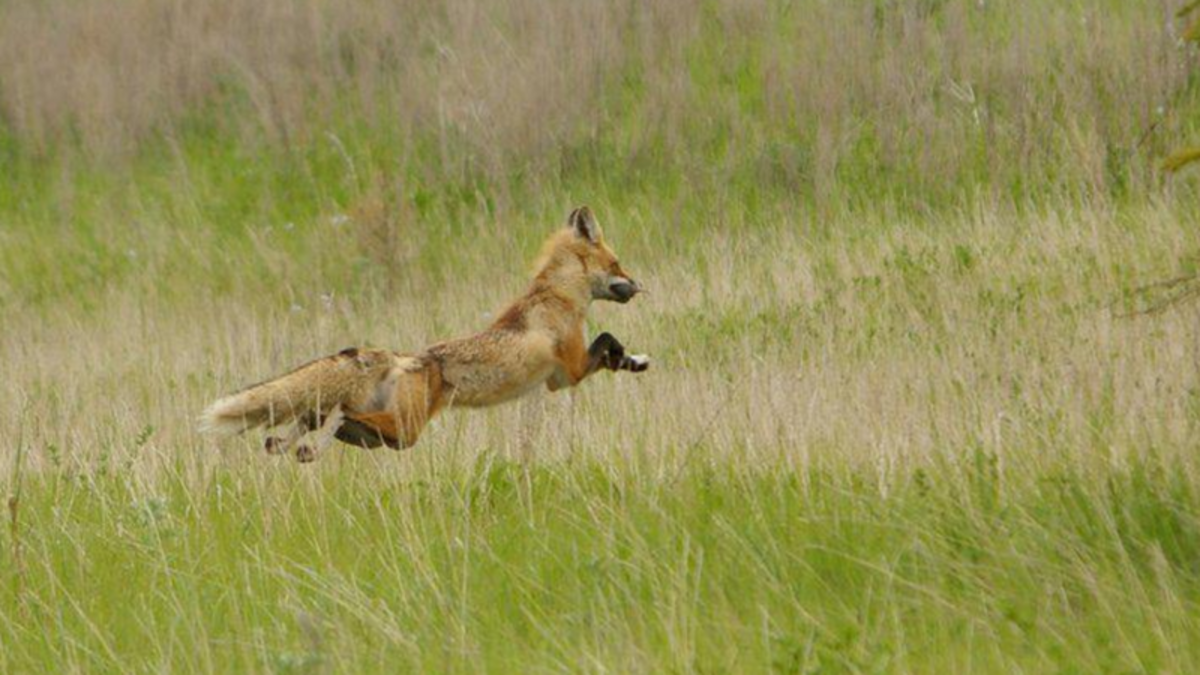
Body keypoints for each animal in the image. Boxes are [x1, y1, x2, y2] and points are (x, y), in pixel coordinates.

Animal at [199, 201, 648, 458]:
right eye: (617, 263)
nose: (639, 284)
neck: (556, 296)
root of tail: (404, 357)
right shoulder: (568, 372)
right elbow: (607, 341)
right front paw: (632, 357)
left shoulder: (557, 380)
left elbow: (614, 352)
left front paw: (636, 361)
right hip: (404, 430)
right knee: (337, 412)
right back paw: (306, 444)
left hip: (388, 434)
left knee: (317, 415)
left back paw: (293, 446)